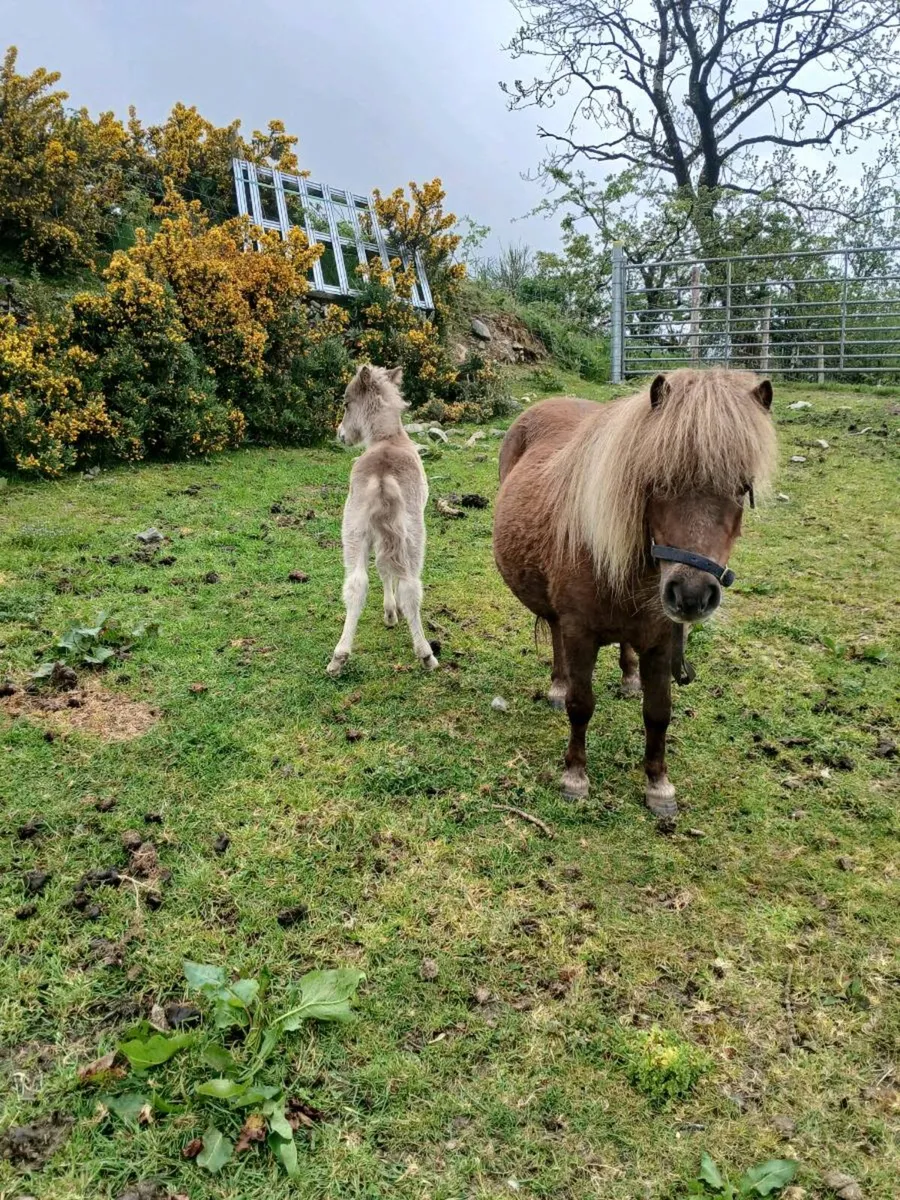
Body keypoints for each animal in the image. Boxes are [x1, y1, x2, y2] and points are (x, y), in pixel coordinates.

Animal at [327, 364, 439, 677]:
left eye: (345, 403)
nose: (340, 434)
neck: (388, 439)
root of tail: (382, 477)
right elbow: (390, 569)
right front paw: (392, 613)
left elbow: (381, 566)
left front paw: (390, 612)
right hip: (414, 534)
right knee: (411, 586)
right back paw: (426, 654)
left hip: (352, 530)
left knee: (356, 583)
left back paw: (339, 657)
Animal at [493, 369, 776, 818]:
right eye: (657, 482)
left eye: (741, 487)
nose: (692, 595)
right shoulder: (579, 632)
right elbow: (581, 704)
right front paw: (575, 776)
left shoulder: (662, 640)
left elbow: (658, 713)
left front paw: (658, 785)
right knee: (553, 633)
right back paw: (557, 685)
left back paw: (629, 679)